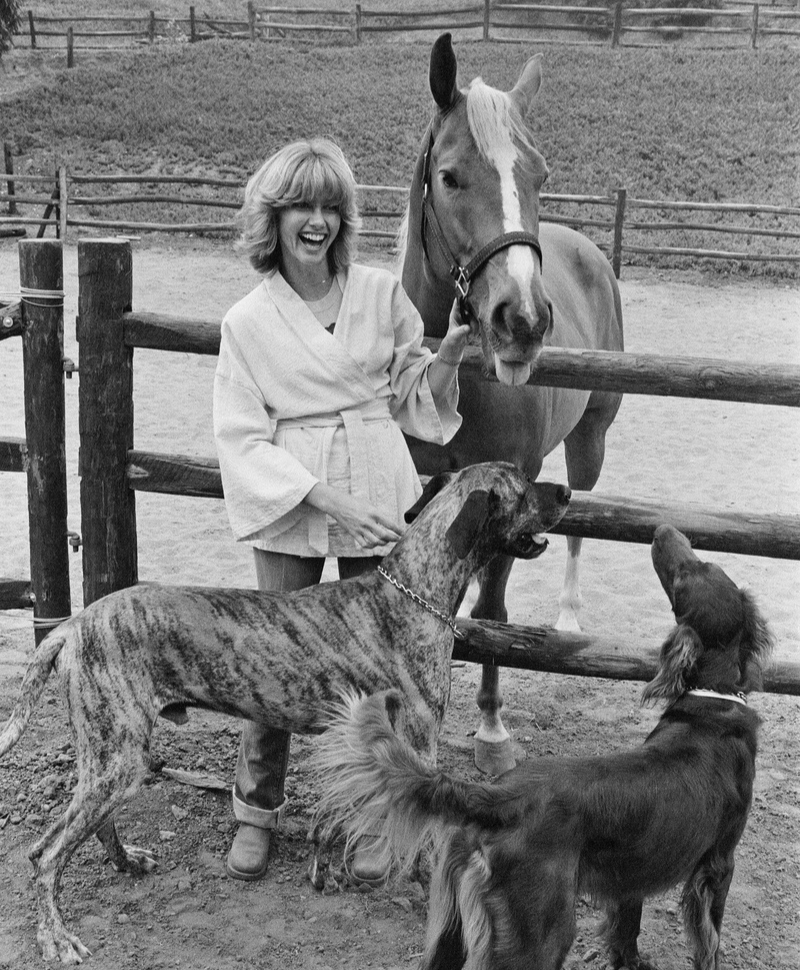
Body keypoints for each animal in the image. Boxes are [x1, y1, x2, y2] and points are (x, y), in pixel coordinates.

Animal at [0, 462, 568, 960]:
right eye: (524, 485)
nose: (565, 492)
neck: (413, 593)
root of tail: (72, 625)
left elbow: (339, 815)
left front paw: (326, 870)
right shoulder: (419, 744)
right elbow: (424, 831)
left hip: (108, 757)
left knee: (81, 830)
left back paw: (124, 863)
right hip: (118, 759)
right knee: (45, 855)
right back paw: (56, 939)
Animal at [314, 524, 776, 968]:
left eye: (692, 570)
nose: (663, 530)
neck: (712, 701)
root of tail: (496, 797)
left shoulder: (631, 875)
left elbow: (627, 930)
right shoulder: (718, 864)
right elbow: (708, 944)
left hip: (452, 930)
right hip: (540, 934)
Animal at [400, 32, 624, 772]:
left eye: (539, 173)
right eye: (449, 176)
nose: (522, 319)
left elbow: (492, 613)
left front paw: (492, 730)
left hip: (591, 439)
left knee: (581, 521)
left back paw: (569, 616)